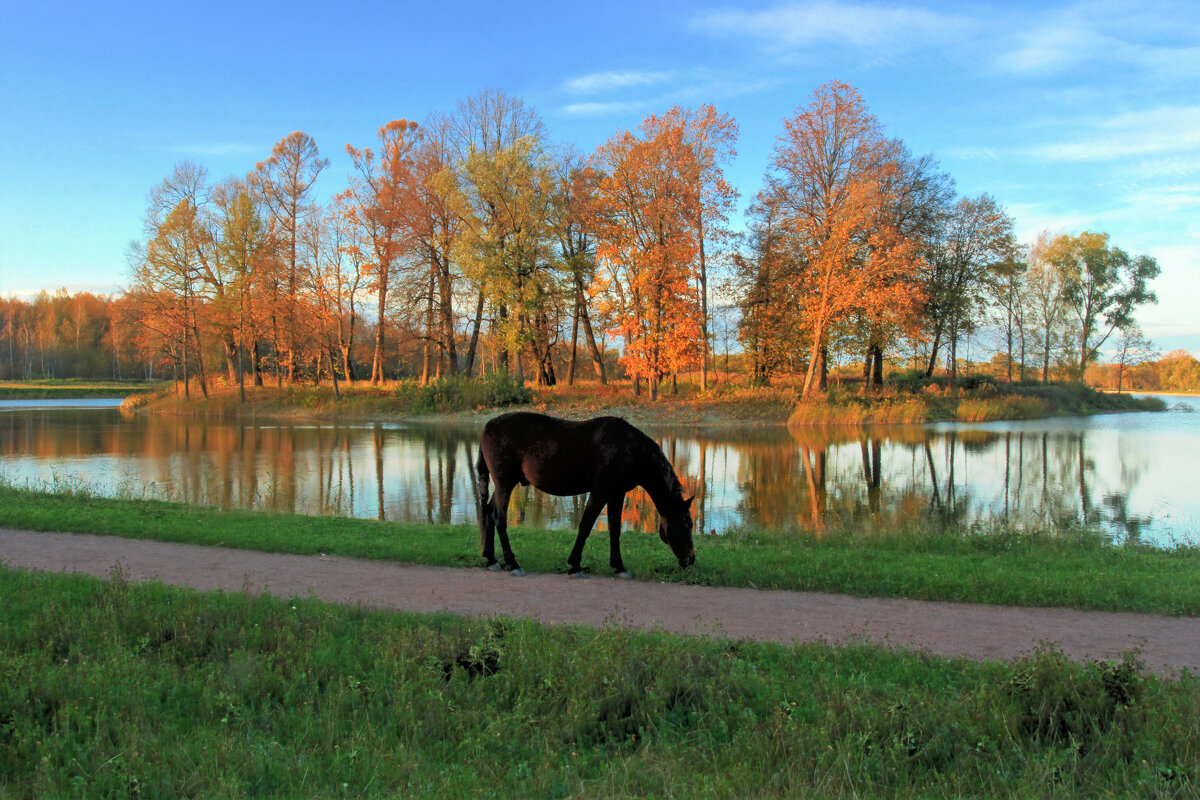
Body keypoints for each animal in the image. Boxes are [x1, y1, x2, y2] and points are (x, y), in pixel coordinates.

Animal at [475, 412, 700, 575]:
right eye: (688, 523)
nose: (691, 559)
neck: (629, 448)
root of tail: (487, 426)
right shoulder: (600, 491)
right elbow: (585, 526)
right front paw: (575, 565)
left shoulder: (616, 494)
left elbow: (614, 528)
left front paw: (619, 566)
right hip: (505, 483)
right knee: (499, 518)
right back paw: (512, 563)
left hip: (503, 485)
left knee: (489, 512)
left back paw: (491, 558)